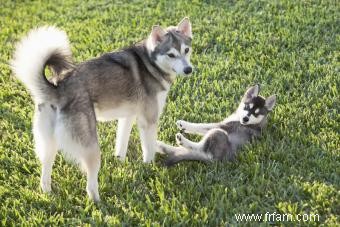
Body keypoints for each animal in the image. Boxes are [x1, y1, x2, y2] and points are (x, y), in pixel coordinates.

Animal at [10, 18, 194, 202]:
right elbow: (148, 149)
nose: (189, 70)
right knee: (90, 182)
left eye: (186, 50)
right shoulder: (148, 121)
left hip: (48, 143)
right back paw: (98, 201)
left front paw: (120, 161)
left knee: (45, 169)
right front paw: (149, 168)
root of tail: (58, 88)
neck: (150, 63)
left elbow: (121, 142)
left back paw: (47, 192)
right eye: (171, 54)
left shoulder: (127, 116)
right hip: (91, 146)